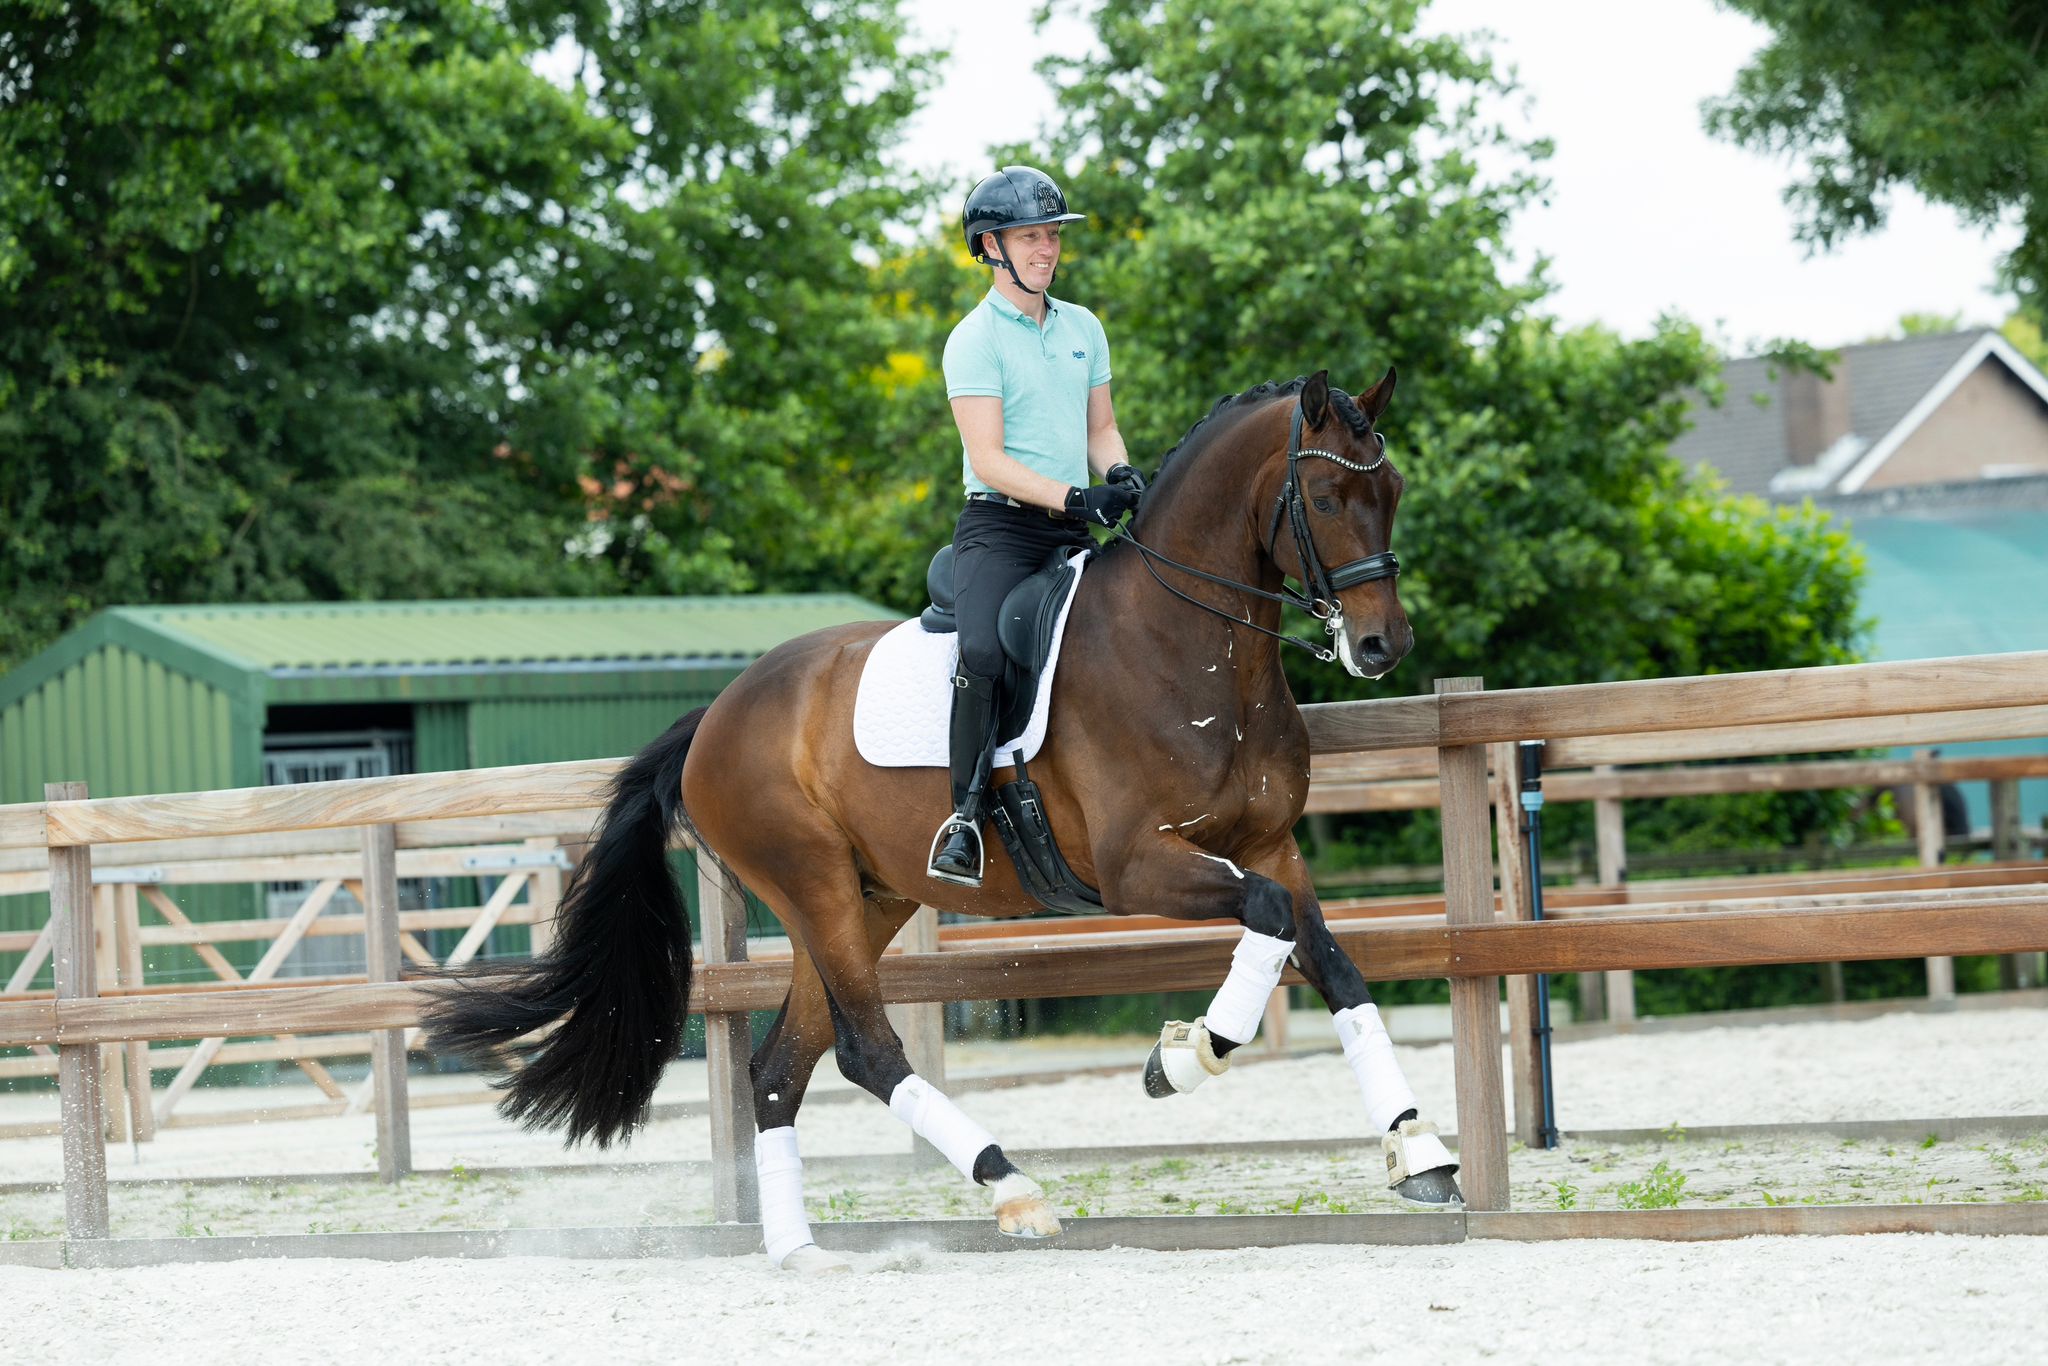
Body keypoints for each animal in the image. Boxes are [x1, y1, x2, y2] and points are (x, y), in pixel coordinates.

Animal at [422, 369, 1463, 1273]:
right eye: (1324, 496)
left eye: (1394, 489)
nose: (1382, 645)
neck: (1195, 653)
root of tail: (714, 716)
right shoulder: (1139, 867)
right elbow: (1272, 926)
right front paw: (1182, 1057)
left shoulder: (1268, 847)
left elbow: (1331, 961)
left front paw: (1419, 1152)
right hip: (811, 882)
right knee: (866, 1049)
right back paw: (1013, 1190)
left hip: (866, 897)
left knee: (780, 1067)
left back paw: (800, 1254)